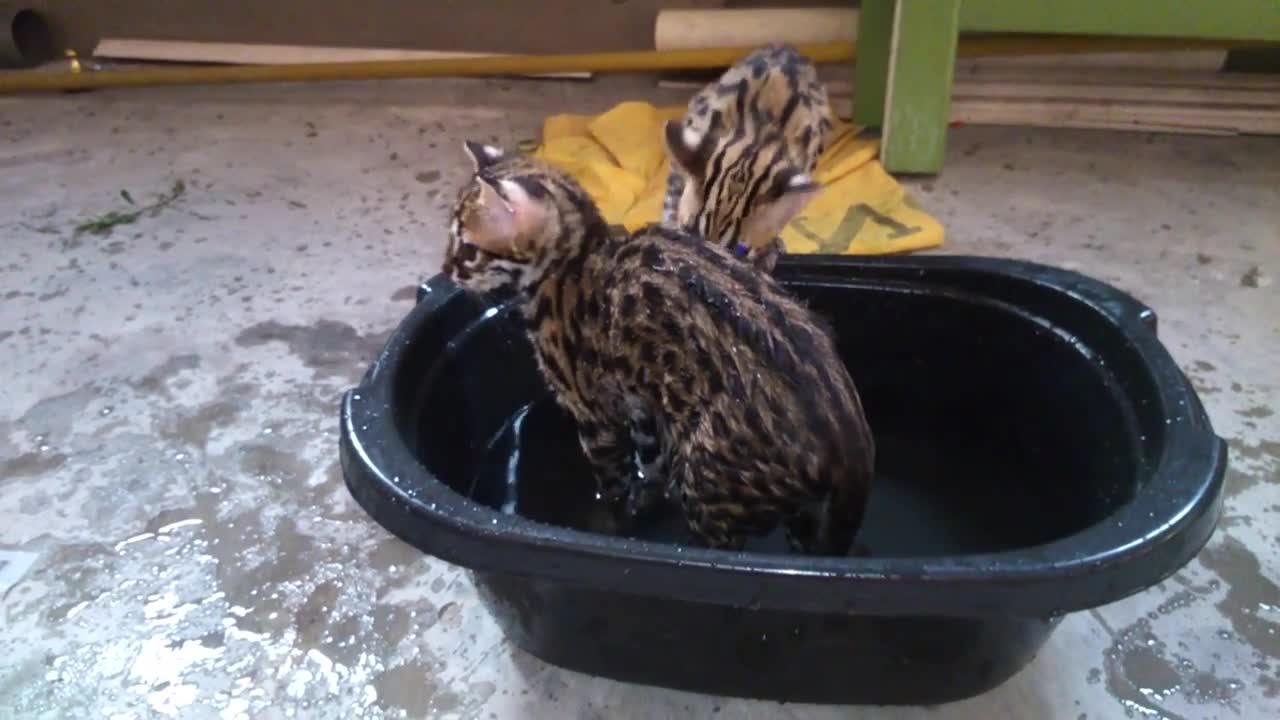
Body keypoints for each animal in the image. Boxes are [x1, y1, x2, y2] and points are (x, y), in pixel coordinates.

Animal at [442, 140, 880, 556]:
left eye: (467, 250)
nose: (446, 270)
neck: (579, 252)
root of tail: (849, 448)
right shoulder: (641, 402)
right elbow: (648, 462)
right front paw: (647, 496)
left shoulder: (593, 413)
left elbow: (612, 485)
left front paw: (614, 520)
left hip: (709, 480)